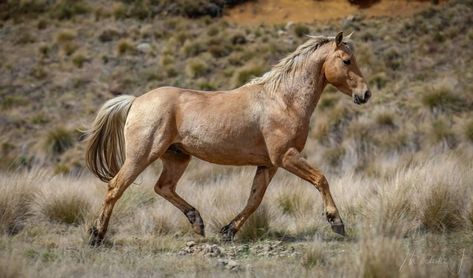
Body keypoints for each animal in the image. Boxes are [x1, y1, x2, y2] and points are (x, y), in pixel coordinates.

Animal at [86, 33, 370, 245]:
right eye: (346, 60)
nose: (365, 94)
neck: (283, 100)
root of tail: (136, 101)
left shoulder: (268, 164)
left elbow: (254, 200)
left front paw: (228, 231)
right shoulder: (286, 156)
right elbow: (321, 179)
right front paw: (336, 222)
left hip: (177, 157)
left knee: (163, 187)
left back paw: (197, 222)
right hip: (141, 155)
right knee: (115, 187)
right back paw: (96, 236)